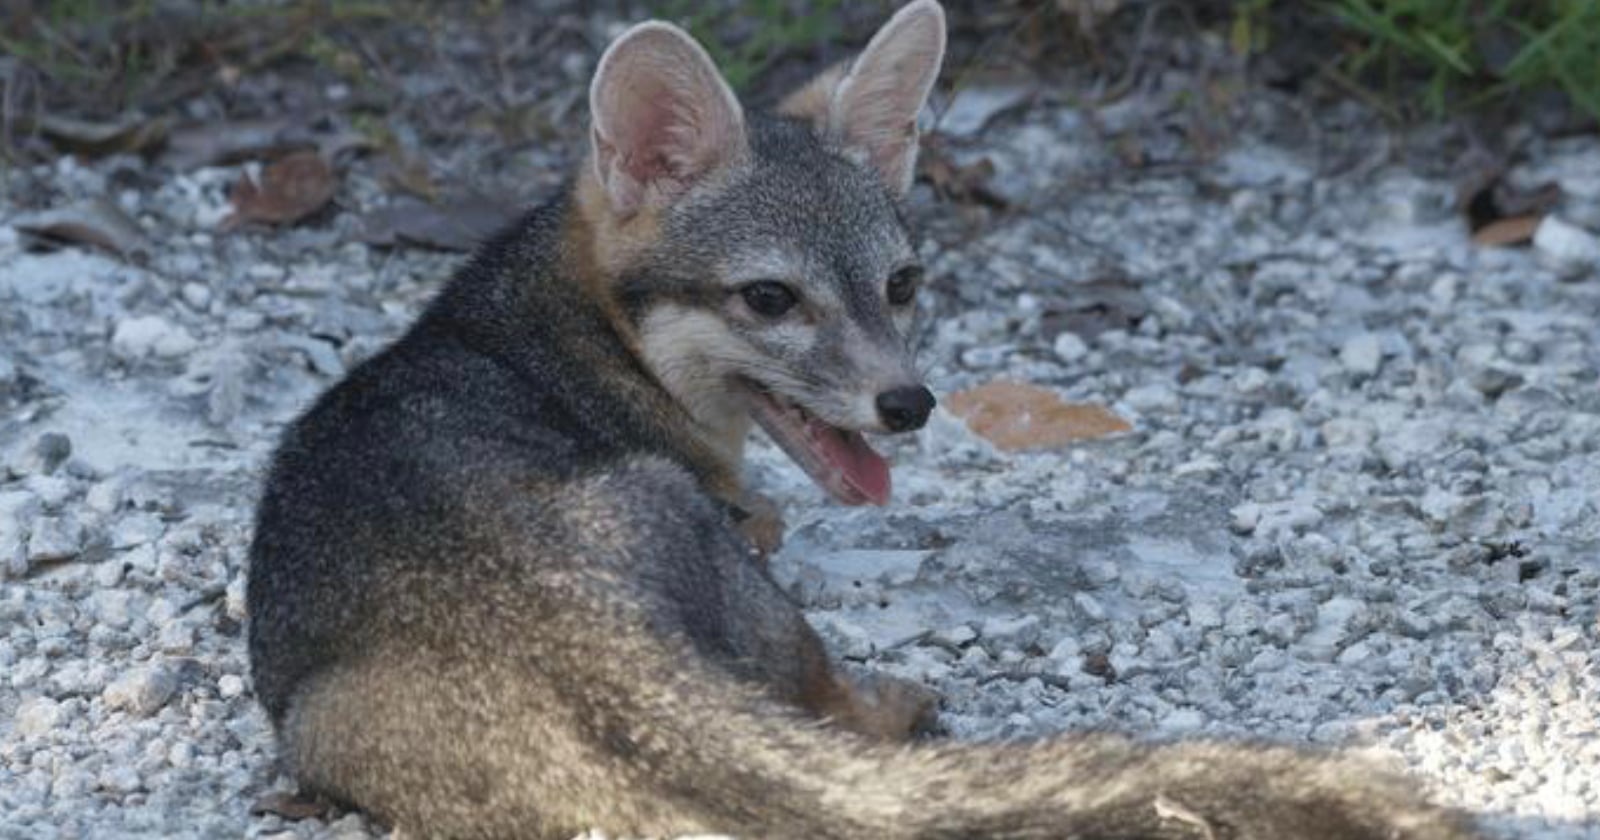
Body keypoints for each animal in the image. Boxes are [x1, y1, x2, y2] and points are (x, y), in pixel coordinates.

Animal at [246, 2, 1484, 838]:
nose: (909, 403)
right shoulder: (745, 519)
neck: (554, 331)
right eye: (769, 300)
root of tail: (562, 624)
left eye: (902, 284)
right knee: (829, 700)